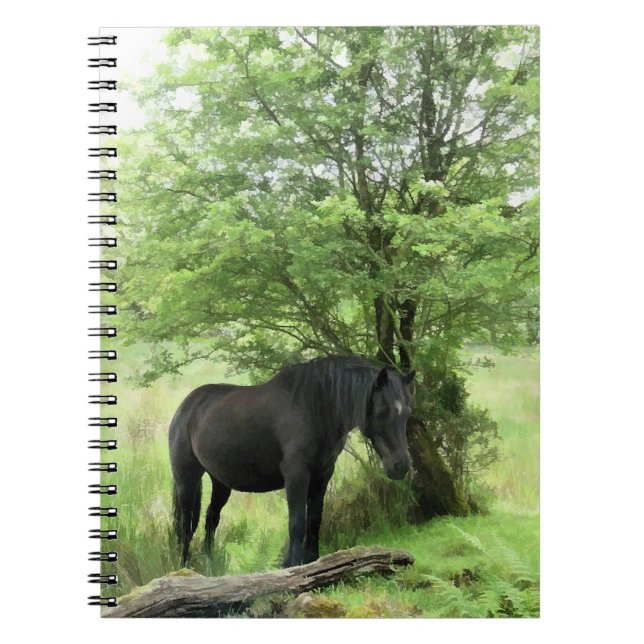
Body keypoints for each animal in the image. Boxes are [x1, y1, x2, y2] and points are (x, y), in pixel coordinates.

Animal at [169, 355, 415, 568]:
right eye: (383, 411)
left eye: (407, 413)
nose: (401, 466)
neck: (315, 407)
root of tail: (186, 406)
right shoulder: (296, 474)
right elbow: (297, 522)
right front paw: (291, 565)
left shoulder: (323, 474)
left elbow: (314, 519)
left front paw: (312, 560)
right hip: (186, 480)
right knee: (186, 526)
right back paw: (184, 567)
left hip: (220, 482)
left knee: (211, 519)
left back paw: (210, 565)